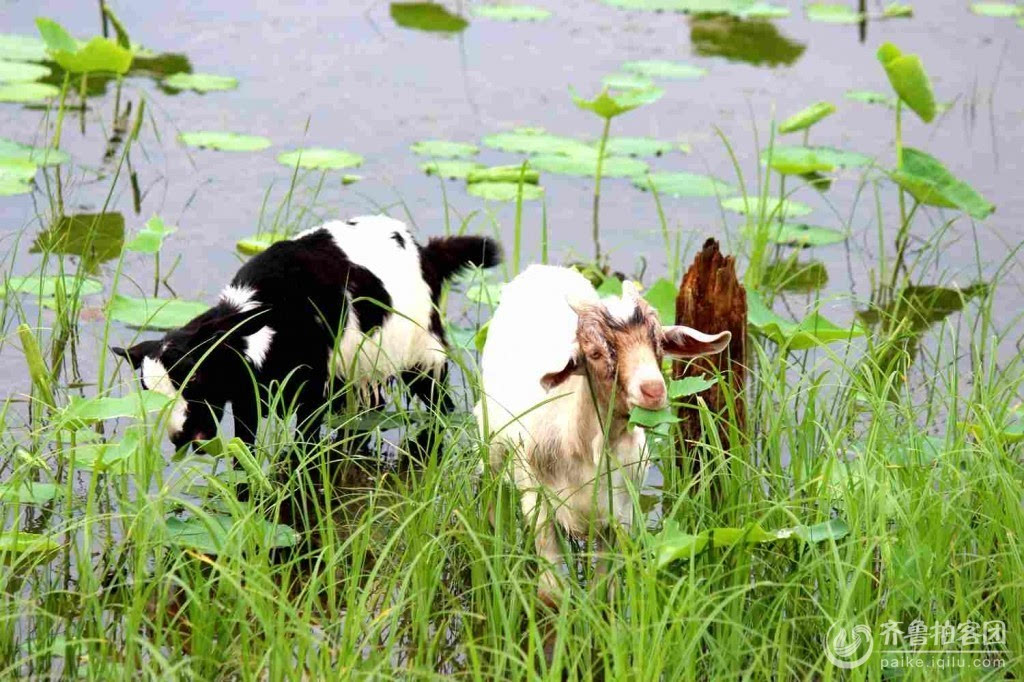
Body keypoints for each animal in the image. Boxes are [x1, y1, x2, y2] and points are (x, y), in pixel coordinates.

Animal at [114, 215, 501, 448]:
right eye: (148, 391)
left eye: (194, 379)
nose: (180, 437)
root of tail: (427, 253)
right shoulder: (246, 397)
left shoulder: (312, 392)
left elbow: (304, 449)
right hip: (361, 369)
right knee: (368, 410)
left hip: (423, 351)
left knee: (440, 405)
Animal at [475, 266, 733, 602]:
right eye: (595, 353)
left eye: (659, 345)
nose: (653, 390)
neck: (584, 448)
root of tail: (541, 269)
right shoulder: (538, 503)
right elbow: (551, 593)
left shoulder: (618, 514)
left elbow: (604, 590)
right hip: (491, 444)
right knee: (494, 498)